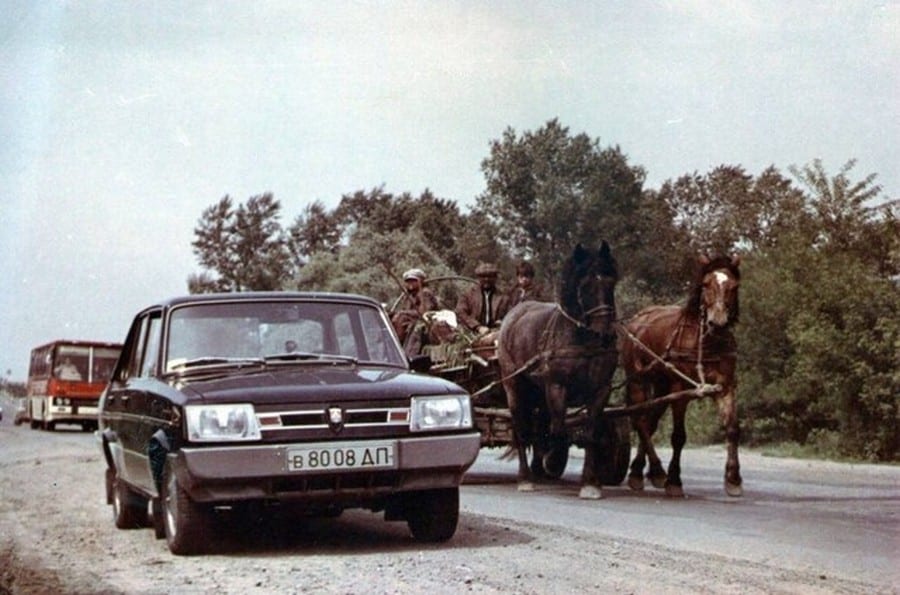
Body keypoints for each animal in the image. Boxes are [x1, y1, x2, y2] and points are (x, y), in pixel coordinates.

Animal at [500, 242, 620, 498]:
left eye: (611, 281)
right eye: (585, 285)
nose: (606, 334)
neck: (582, 338)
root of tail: (513, 315)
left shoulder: (601, 389)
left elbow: (591, 433)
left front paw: (590, 483)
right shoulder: (557, 386)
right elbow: (558, 429)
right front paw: (554, 459)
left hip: (537, 392)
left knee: (538, 428)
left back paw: (536, 470)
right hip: (514, 386)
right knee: (522, 429)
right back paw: (525, 478)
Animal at [624, 254, 740, 496]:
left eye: (733, 286)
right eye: (706, 284)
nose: (718, 322)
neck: (704, 341)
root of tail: (637, 320)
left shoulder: (725, 387)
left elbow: (732, 429)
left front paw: (734, 479)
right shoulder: (680, 390)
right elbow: (678, 436)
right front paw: (674, 480)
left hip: (661, 385)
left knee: (649, 422)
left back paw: (641, 472)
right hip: (638, 380)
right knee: (640, 421)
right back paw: (655, 472)